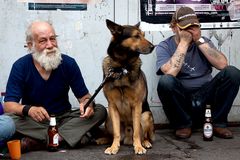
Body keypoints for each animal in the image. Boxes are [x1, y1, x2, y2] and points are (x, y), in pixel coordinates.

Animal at [96, 19, 155, 154]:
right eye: (136, 36)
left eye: (143, 35)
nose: (153, 47)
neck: (122, 68)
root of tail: (127, 137)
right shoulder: (112, 105)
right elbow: (116, 133)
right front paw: (113, 147)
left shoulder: (137, 105)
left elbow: (137, 132)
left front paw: (138, 147)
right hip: (109, 119)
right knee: (112, 134)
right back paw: (104, 139)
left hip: (146, 115)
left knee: (143, 134)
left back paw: (145, 143)